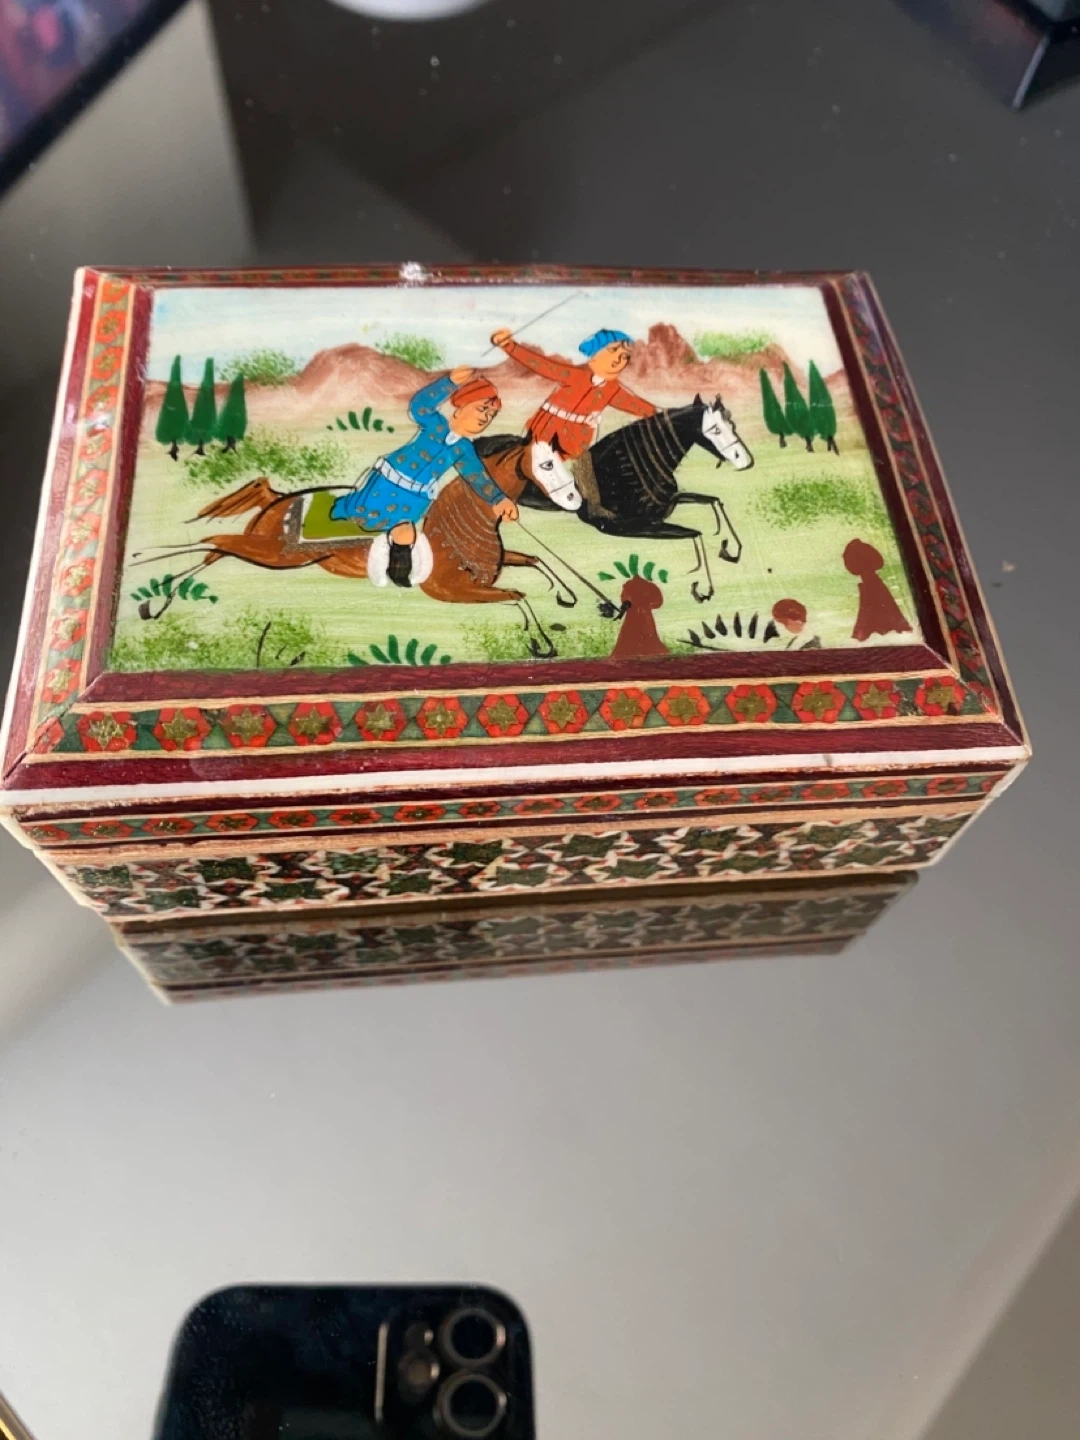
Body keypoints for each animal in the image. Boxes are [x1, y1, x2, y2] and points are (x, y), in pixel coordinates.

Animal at [136, 438, 585, 659]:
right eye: (546, 464)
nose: (574, 499)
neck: (457, 527)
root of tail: (279, 498)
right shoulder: (454, 592)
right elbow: (518, 595)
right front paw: (542, 643)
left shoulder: (492, 574)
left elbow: (536, 561)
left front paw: (566, 595)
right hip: (275, 555)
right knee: (211, 542)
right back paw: (145, 567)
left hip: (268, 551)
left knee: (218, 551)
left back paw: (158, 599)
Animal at [520, 395, 753, 603]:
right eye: (715, 429)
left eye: (732, 424)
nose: (746, 461)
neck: (624, 468)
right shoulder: (629, 526)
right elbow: (695, 534)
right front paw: (703, 590)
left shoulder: (666, 507)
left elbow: (713, 501)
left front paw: (731, 550)